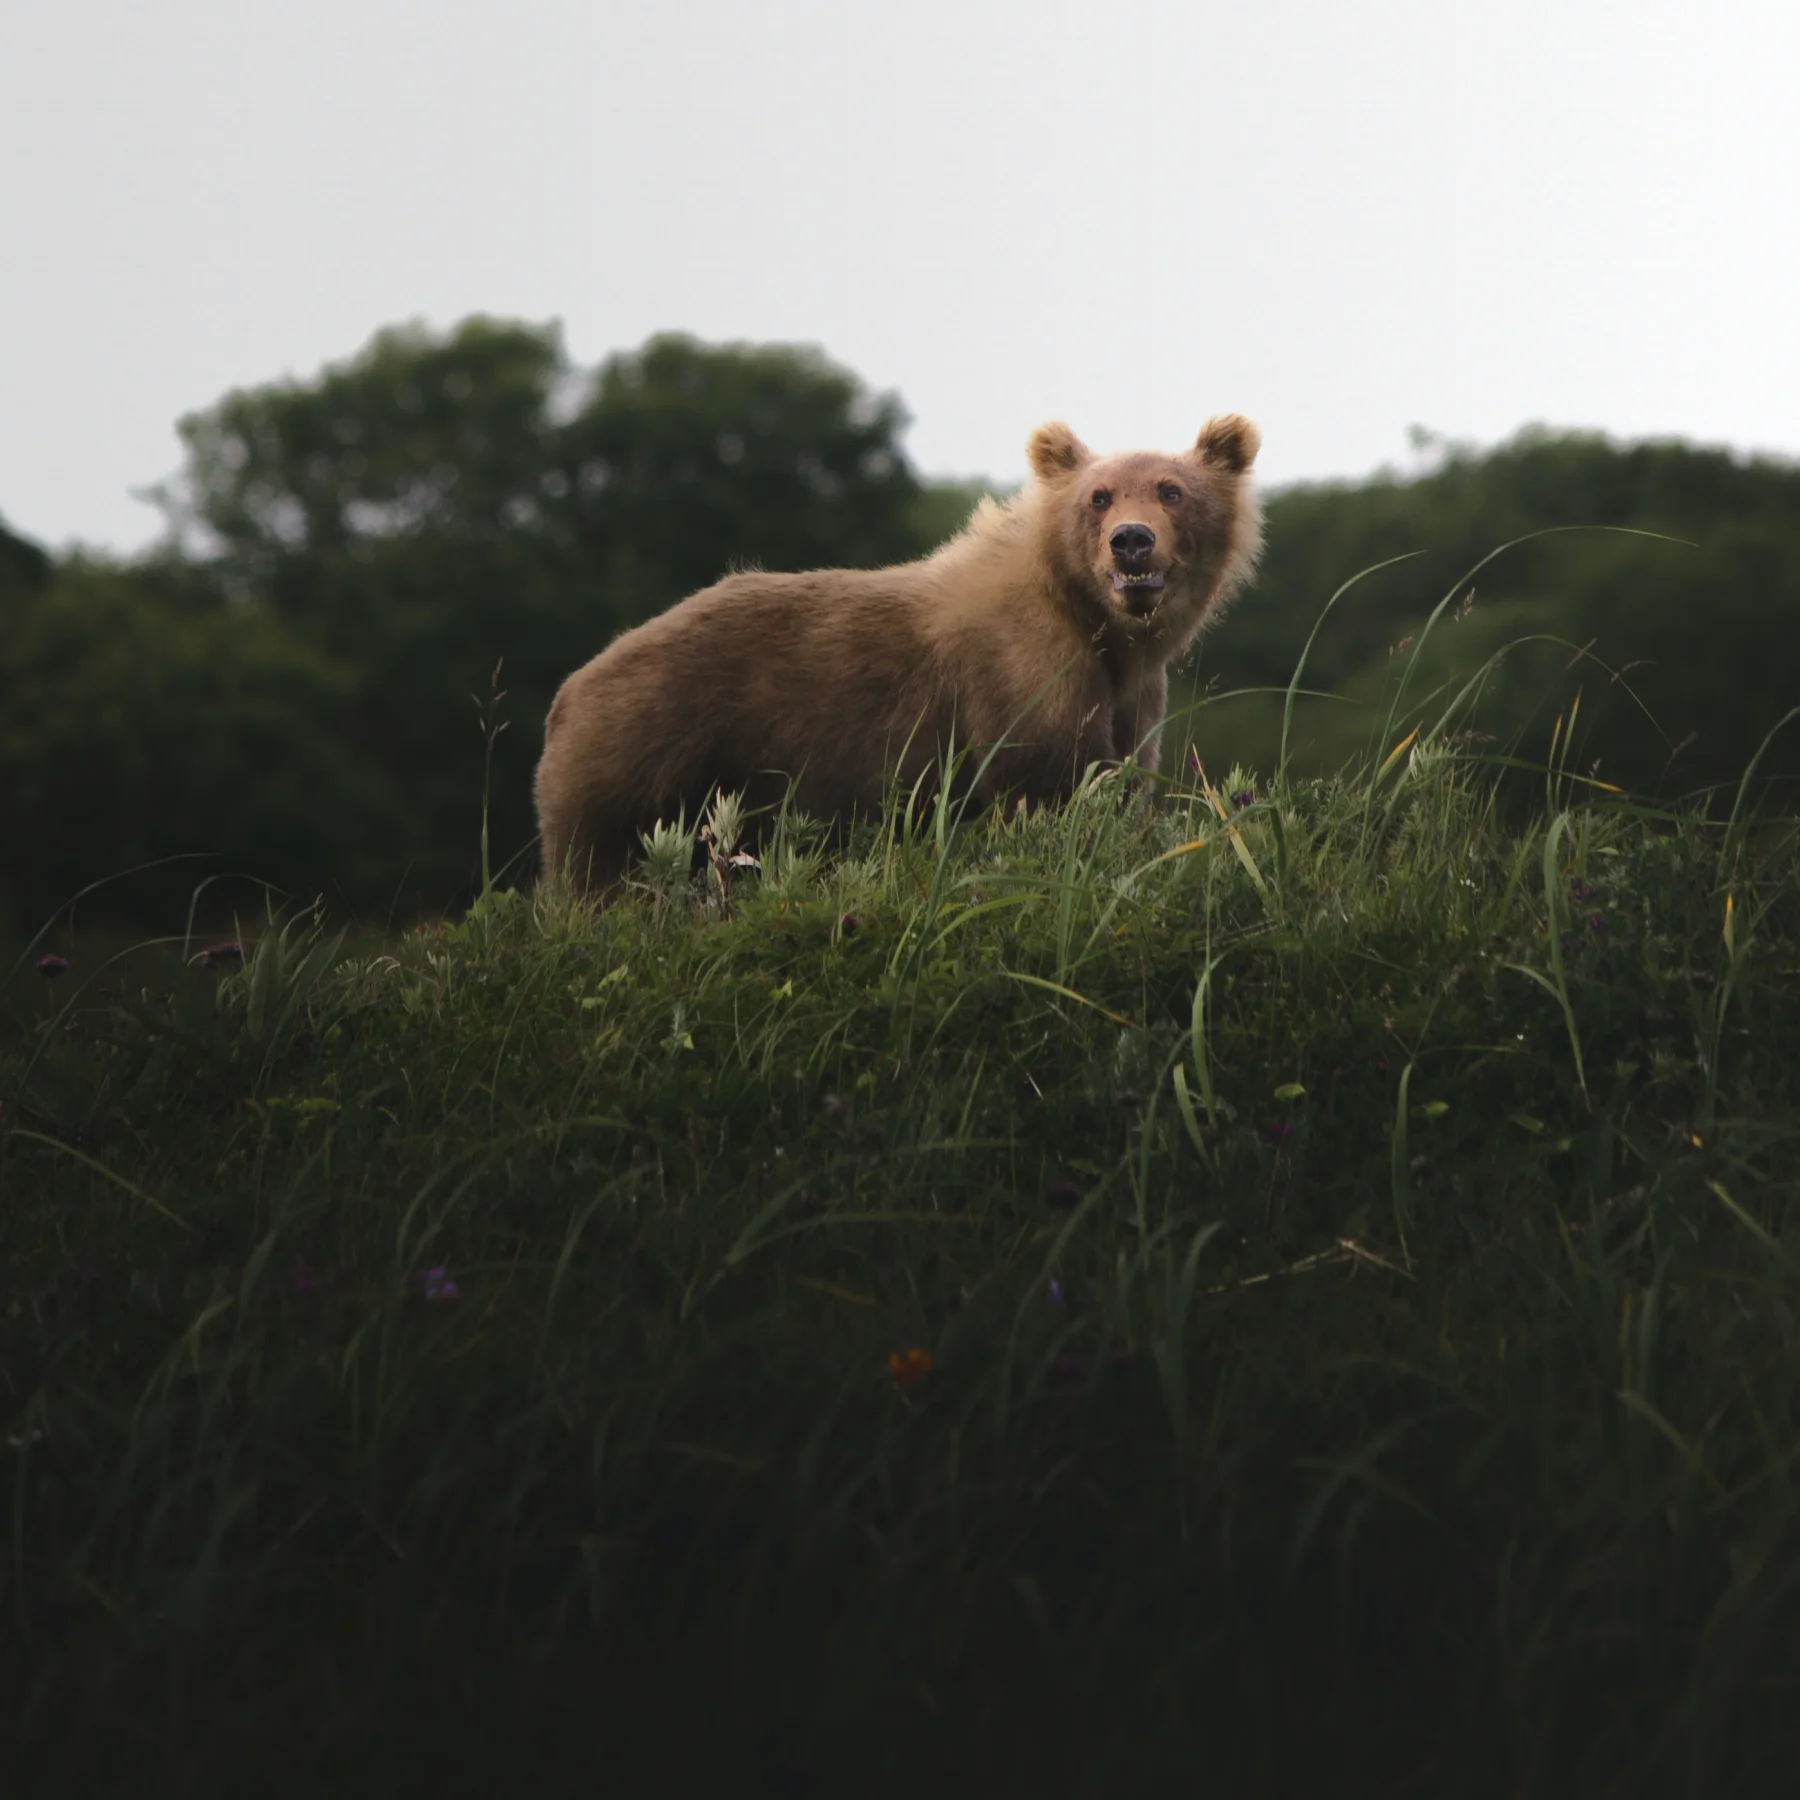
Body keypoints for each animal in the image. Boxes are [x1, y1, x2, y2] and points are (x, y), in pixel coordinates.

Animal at [540, 408, 1260, 885]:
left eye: (1172, 489)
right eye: (1099, 496)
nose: (1132, 540)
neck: (1099, 624)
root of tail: (571, 687)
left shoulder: (1132, 697)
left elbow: (1121, 780)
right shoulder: (1027, 676)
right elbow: (1047, 789)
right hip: (647, 760)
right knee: (599, 871)